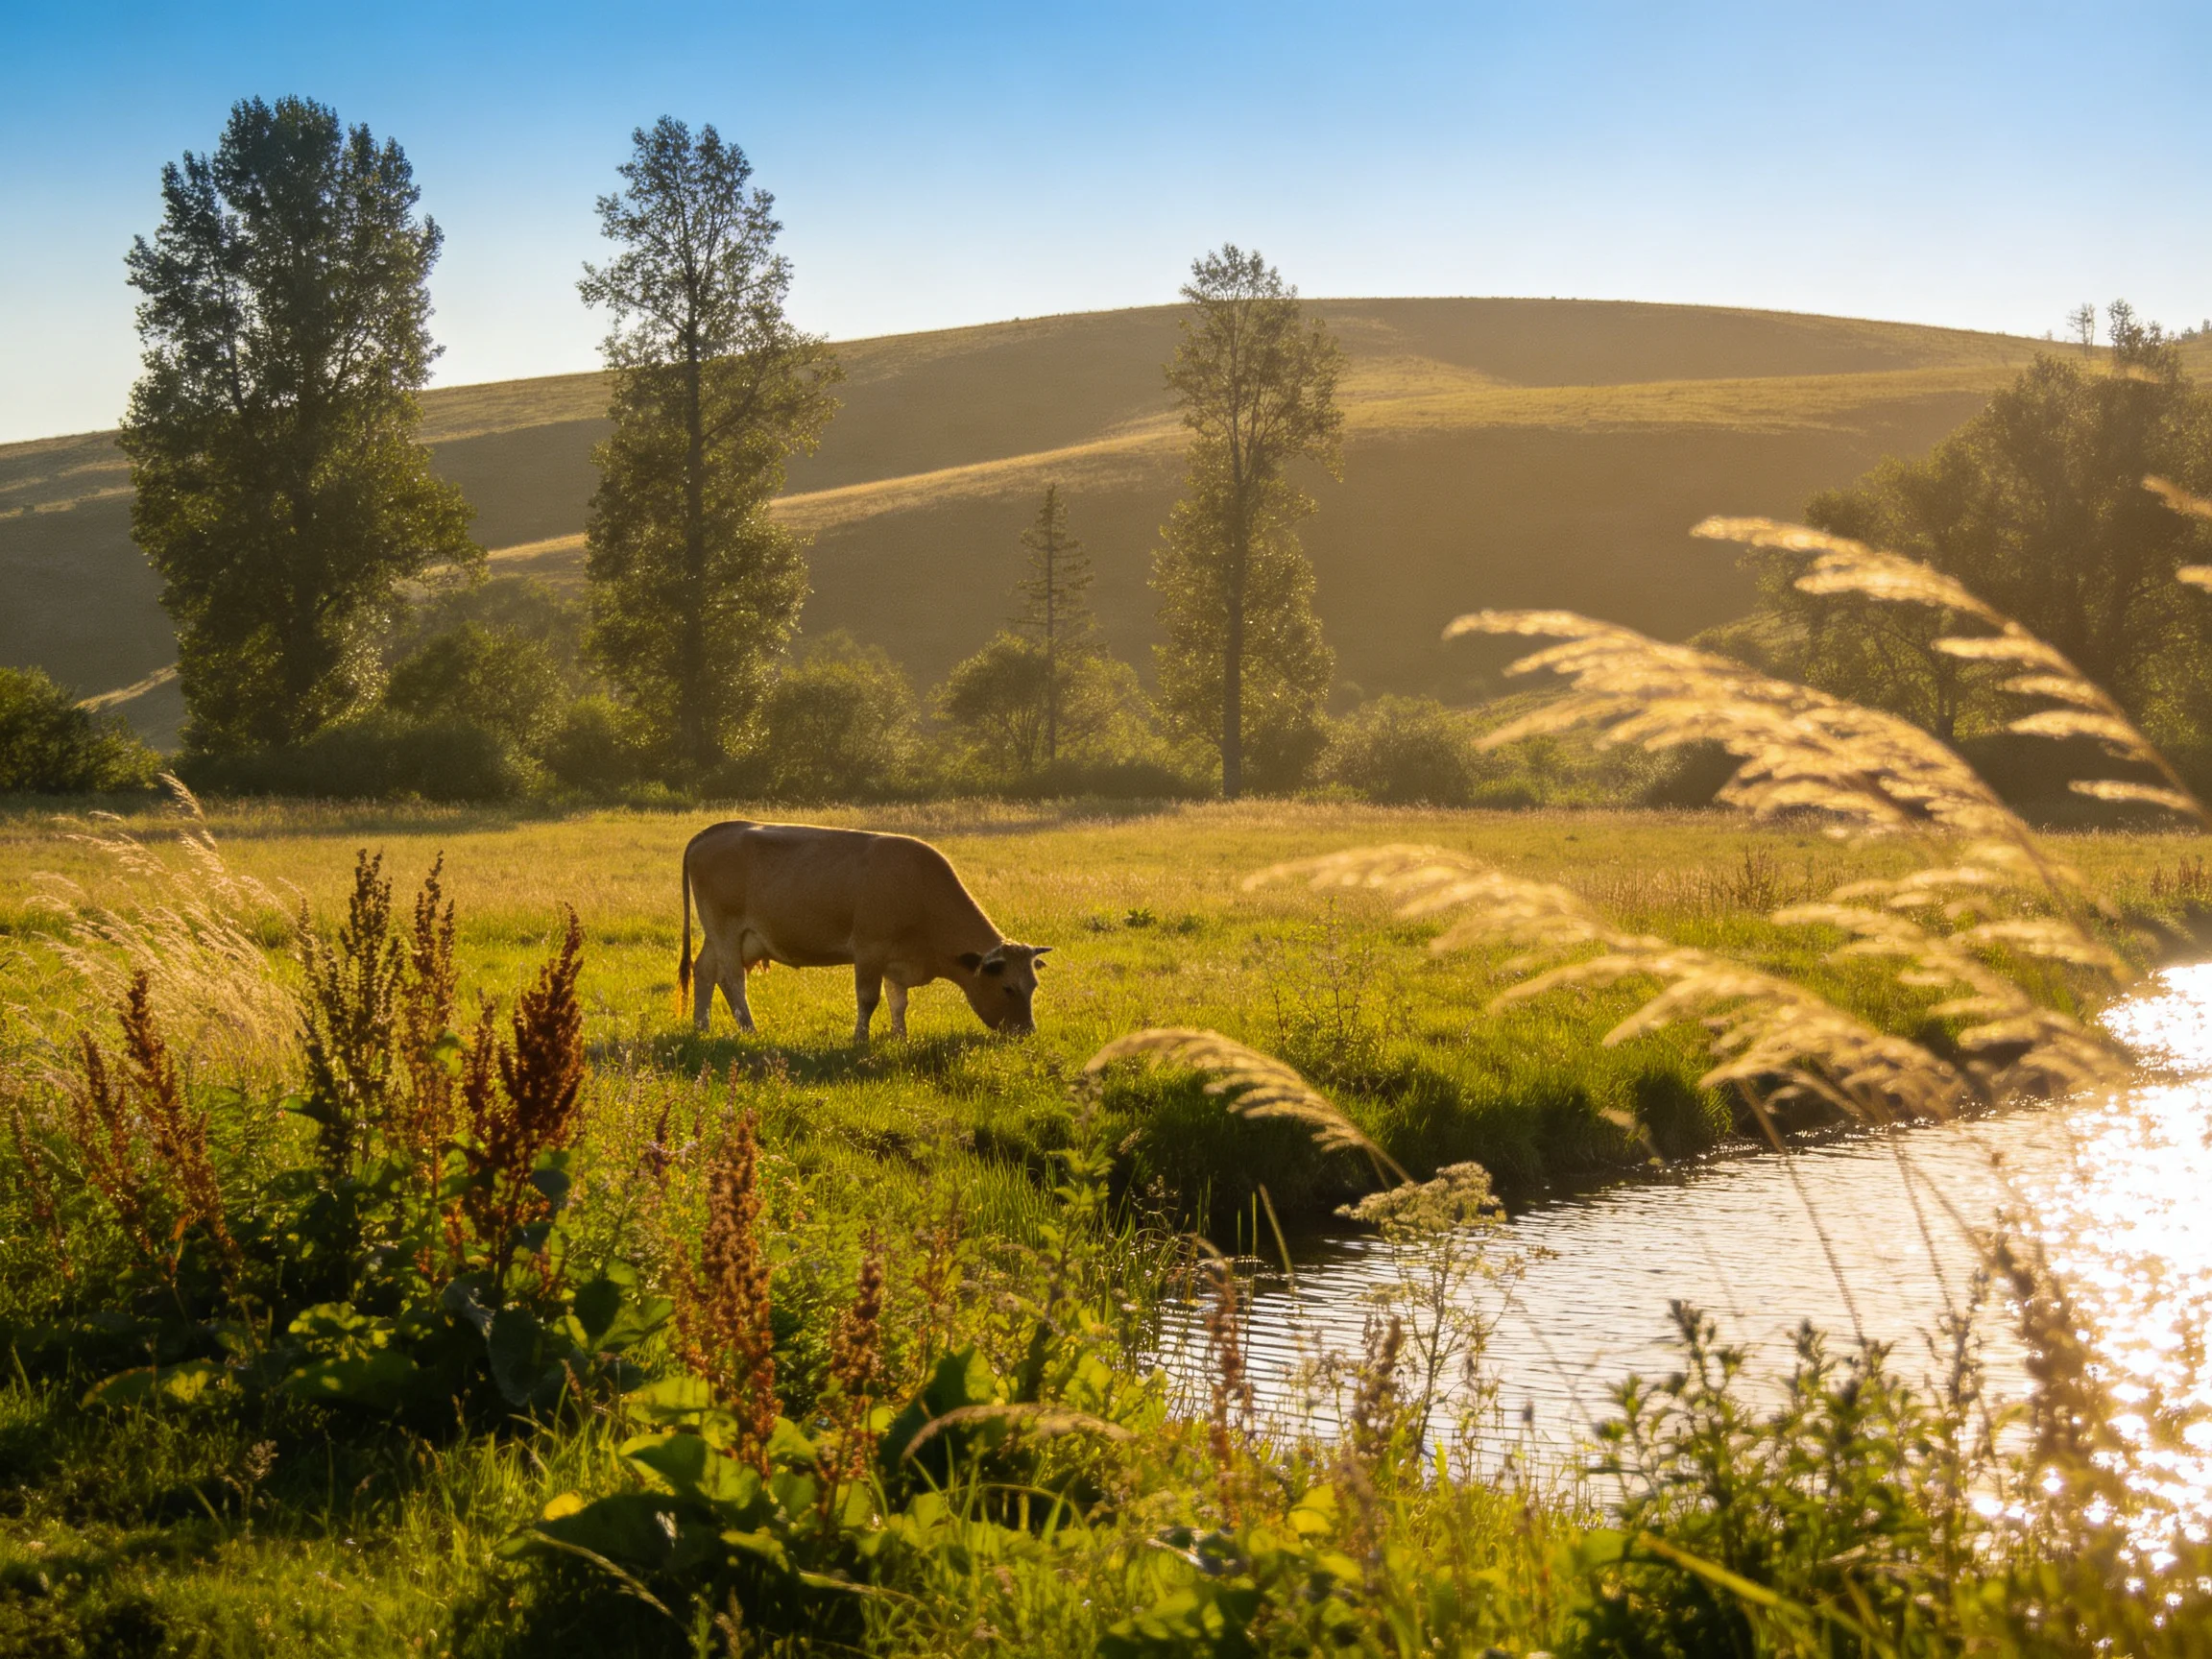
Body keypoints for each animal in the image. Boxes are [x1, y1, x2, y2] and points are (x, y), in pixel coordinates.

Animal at [677, 819, 1051, 1044]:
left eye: (1033, 986)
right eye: (1007, 988)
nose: (1027, 1033)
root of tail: (715, 831)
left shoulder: (896, 960)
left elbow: (899, 1001)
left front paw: (900, 1037)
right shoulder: (870, 951)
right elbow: (869, 998)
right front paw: (860, 1039)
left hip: (722, 936)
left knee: (705, 970)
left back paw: (701, 1026)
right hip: (725, 931)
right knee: (732, 979)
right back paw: (749, 1029)